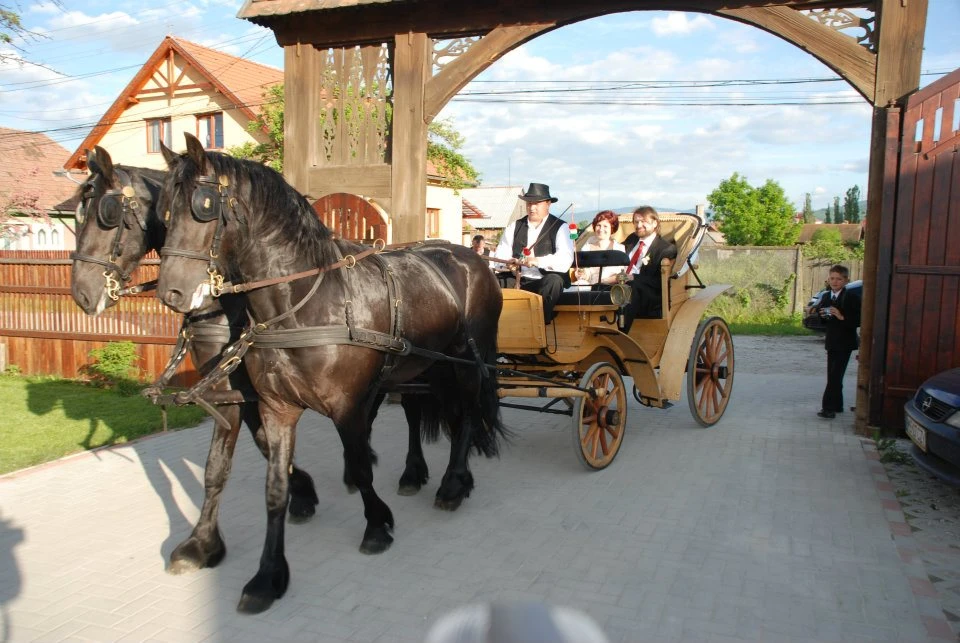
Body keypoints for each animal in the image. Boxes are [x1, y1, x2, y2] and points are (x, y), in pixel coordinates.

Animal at [69, 150, 322, 572]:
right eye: (77, 214)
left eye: (107, 214)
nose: (82, 294)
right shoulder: (237, 393)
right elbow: (259, 447)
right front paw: (301, 488)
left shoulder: (235, 393)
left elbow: (218, 467)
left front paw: (202, 543)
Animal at [154, 135, 506, 612]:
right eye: (164, 211)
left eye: (204, 205)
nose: (171, 292)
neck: (300, 305)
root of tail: (470, 256)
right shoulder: (274, 408)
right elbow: (273, 488)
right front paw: (267, 576)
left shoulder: (347, 407)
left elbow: (359, 464)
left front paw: (377, 525)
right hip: (429, 366)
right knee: (437, 415)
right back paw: (433, 475)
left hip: (467, 362)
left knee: (467, 415)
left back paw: (453, 483)